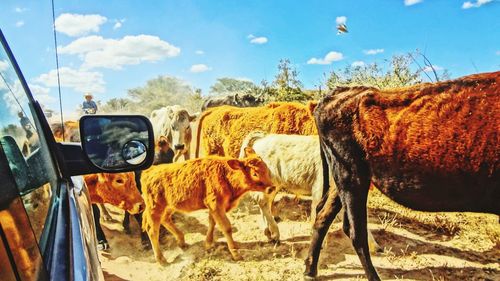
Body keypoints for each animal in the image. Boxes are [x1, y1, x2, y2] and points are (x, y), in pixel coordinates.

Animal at [140, 150, 274, 264]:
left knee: (165, 219)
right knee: (152, 230)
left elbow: (212, 222)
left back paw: (181, 241)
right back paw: (161, 260)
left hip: (169, 206)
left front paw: (208, 243)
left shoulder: (214, 208)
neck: (225, 174)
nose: (272, 188)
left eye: (266, 169)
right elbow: (226, 227)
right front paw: (235, 254)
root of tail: (148, 171)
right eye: (255, 173)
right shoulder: (216, 206)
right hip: (155, 207)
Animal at [238, 132, 378, 252]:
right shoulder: (319, 190)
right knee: (262, 202)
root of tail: (264, 136)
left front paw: (374, 245)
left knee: (264, 203)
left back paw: (268, 233)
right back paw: (274, 233)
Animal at [304, 71, 500, 278]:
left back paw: (310, 269)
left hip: (343, 180)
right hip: (351, 178)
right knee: (355, 232)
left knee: (323, 216)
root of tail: (337, 94)